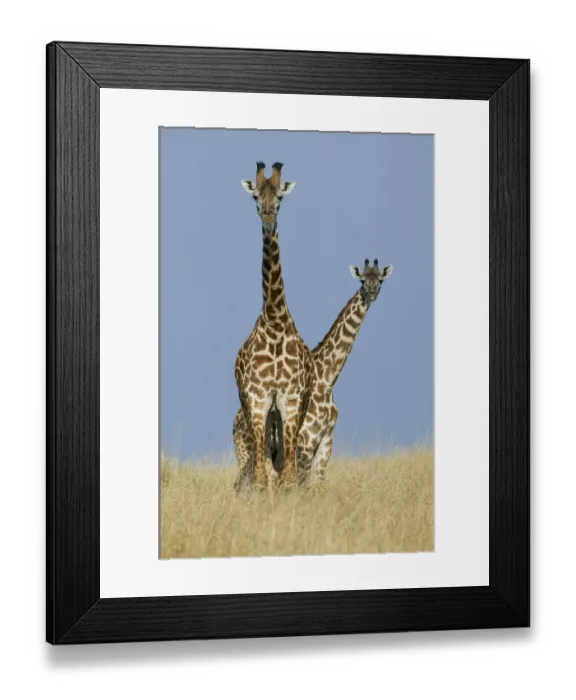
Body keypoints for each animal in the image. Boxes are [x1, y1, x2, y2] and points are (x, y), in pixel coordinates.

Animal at [234, 258, 393, 491]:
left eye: (380, 279)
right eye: (363, 280)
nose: (372, 292)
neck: (327, 379)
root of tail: (234, 424)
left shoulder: (326, 438)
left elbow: (316, 485)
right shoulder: (305, 441)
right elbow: (302, 486)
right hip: (248, 450)